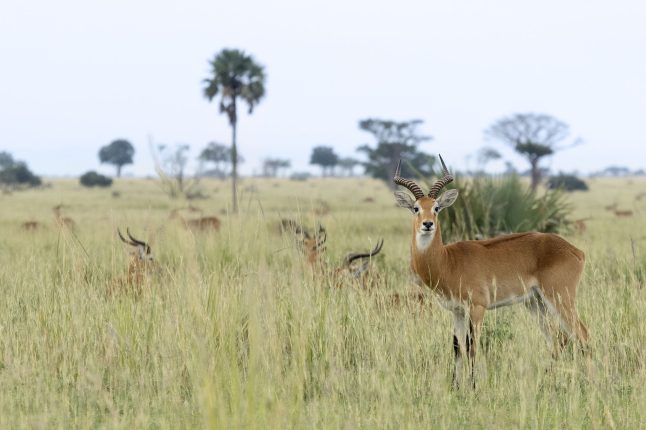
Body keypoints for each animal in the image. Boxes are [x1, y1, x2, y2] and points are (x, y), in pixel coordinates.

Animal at [392, 155, 588, 390]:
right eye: (415, 208)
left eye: (437, 207)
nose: (428, 224)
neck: (447, 261)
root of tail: (575, 250)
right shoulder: (457, 311)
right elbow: (457, 347)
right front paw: (455, 387)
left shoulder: (477, 307)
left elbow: (472, 346)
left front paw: (473, 386)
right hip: (536, 303)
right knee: (557, 339)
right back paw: (545, 383)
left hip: (560, 298)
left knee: (582, 334)